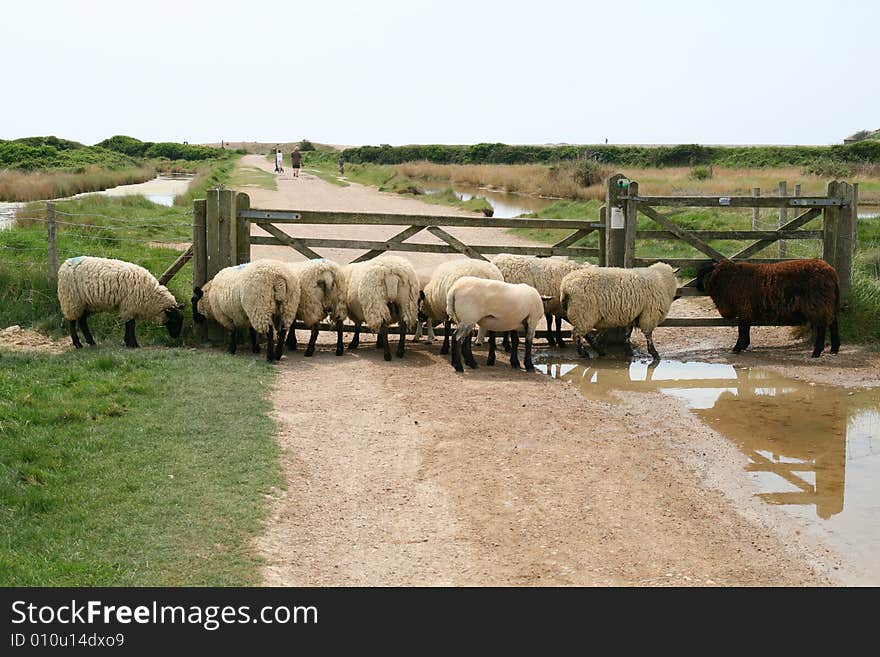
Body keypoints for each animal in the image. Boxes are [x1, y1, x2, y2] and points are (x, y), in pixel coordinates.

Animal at [56, 255, 184, 348]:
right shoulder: (130, 305)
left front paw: (128, 342)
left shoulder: (129, 306)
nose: (176, 336)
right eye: (174, 320)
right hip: (71, 299)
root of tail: (64, 264)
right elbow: (131, 324)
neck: (150, 294)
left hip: (87, 303)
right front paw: (133, 344)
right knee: (72, 322)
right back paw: (78, 344)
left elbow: (129, 324)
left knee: (82, 320)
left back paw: (91, 342)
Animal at [696, 258, 844, 358]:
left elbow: (742, 329)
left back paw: (816, 352)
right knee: (833, 323)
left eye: (702, 272)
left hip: (817, 304)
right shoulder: (747, 310)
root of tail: (831, 272)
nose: (697, 287)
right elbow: (746, 328)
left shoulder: (744, 308)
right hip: (828, 303)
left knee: (822, 327)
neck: (730, 279)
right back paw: (834, 348)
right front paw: (744, 345)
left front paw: (737, 348)